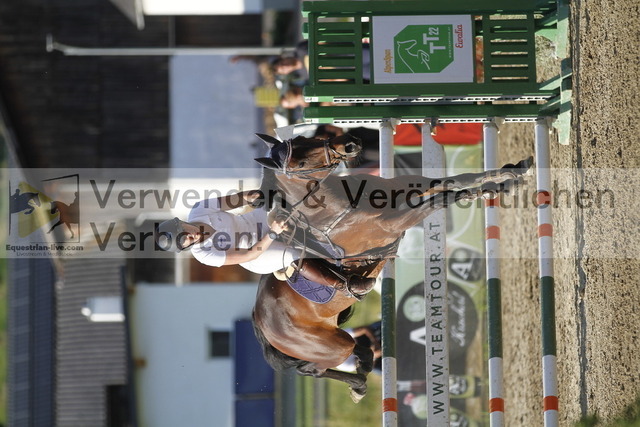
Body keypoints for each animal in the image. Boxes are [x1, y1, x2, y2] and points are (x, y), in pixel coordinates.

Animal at [251, 132, 532, 401]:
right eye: (299, 164)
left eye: (304, 139)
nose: (349, 144)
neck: (338, 203)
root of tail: (261, 320)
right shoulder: (398, 221)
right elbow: (446, 197)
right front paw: (492, 189)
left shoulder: (411, 188)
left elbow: (456, 180)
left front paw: (511, 175)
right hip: (329, 346)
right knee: (313, 369)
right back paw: (358, 384)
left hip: (336, 337)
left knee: (349, 352)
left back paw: (363, 369)